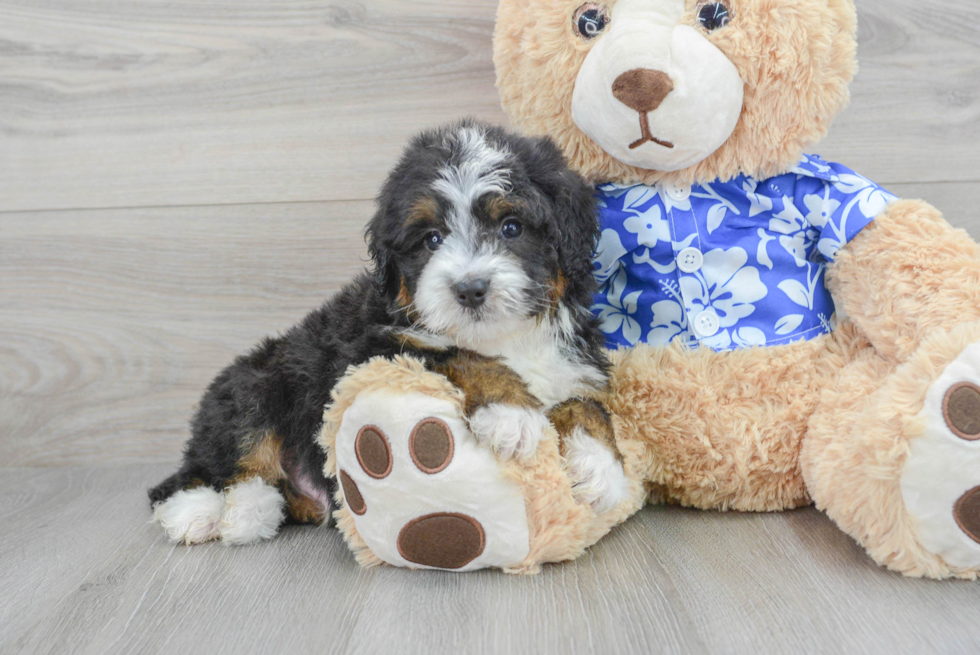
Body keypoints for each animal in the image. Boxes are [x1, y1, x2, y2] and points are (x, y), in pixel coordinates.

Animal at [150, 120, 632, 544]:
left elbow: (590, 407)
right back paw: (203, 513)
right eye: (432, 238)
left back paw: (253, 511)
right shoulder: (374, 350)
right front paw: (512, 414)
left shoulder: (576, 363)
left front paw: (601, 468)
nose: (470, 289)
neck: (503, 337)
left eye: (511, 227)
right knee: (208, 467)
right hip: (252, 385)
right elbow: (461, 356)